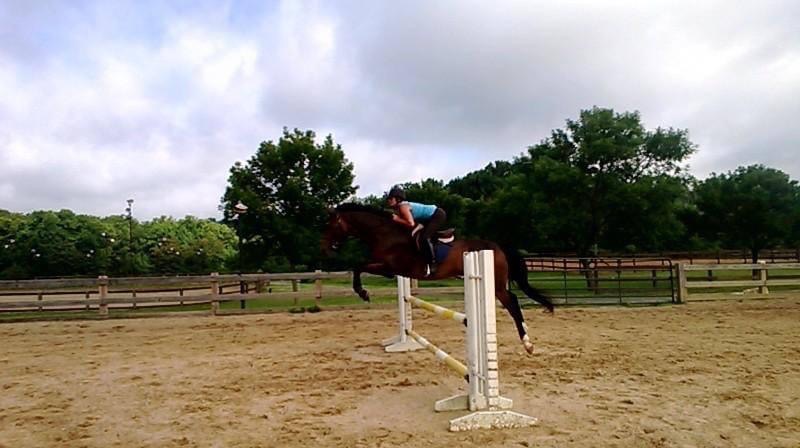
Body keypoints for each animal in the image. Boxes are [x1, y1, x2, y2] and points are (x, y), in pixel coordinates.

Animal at [322, 202, 552, 354]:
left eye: (331, 225)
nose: (325, 248)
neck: (384, 233)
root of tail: (497, 247)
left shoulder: (390, 267)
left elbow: (358, 267)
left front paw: (363, 293)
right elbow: (359, 267)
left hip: (496, 285)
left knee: (512, 302)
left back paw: (528, 343)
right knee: (512, 302)